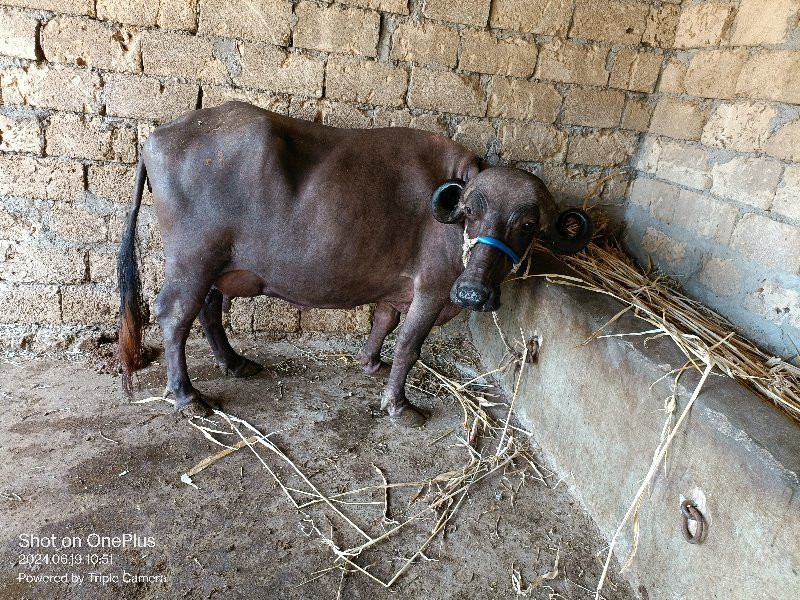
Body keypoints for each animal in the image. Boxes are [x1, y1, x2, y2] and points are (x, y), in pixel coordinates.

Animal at [120, 101, 592, 424]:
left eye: (528, 224)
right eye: (471, 212)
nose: (473, 293)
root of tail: (157, 137)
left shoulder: (397, 287)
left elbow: (383, 321)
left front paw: (371, 364)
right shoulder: (432, 288)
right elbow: (409, 344)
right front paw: (399, 406)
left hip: (219, 266)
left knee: (209, 309)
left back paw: (236, 364)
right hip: (192, 260)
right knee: (175, 314)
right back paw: (188, 396)